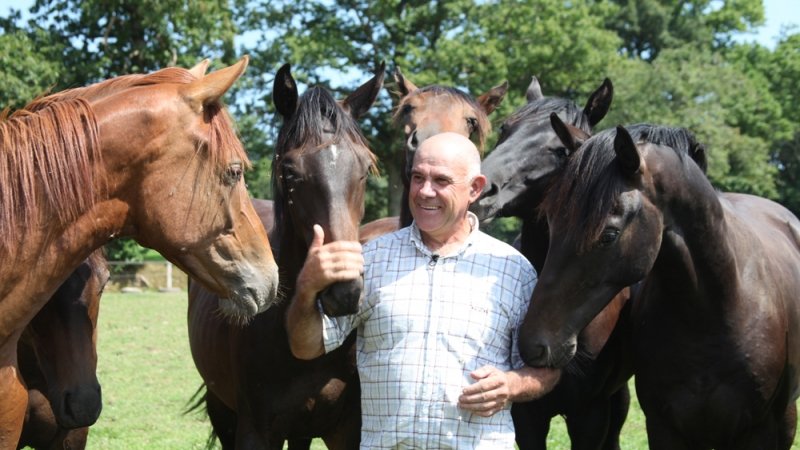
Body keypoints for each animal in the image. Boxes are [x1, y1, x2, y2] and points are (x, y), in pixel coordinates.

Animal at [188, 62, 383, 449]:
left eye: (365, 168)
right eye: (290, 172)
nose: (344, 291)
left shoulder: (348, 431)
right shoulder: (255, 431)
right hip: (222, 408)